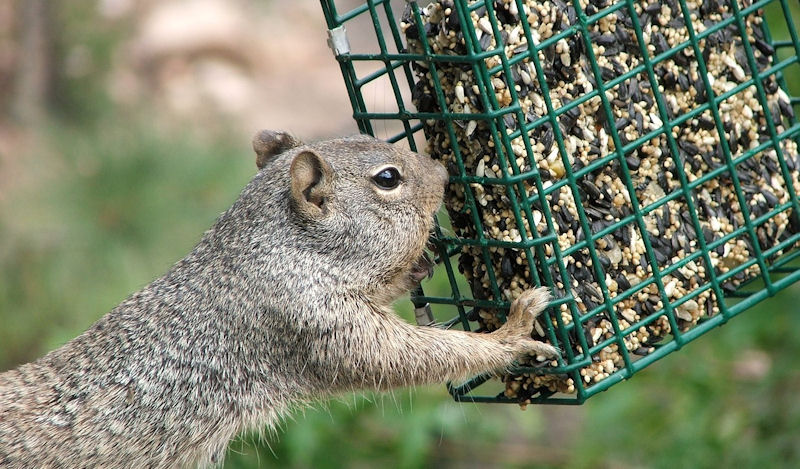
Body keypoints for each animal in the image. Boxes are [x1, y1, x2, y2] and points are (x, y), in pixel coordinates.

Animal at [0, 130, 556, 466]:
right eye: (387, 178)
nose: (443, 172)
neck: (275, 249)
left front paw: (415, 267)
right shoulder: (310, 319)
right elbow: (404, 357)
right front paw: (511, 336)